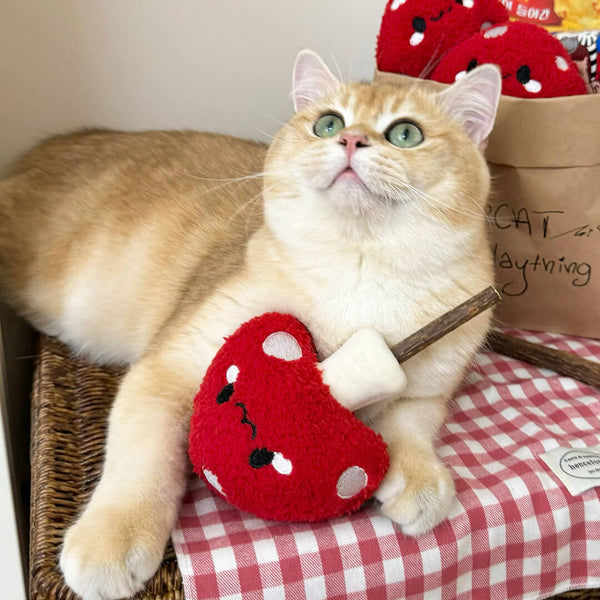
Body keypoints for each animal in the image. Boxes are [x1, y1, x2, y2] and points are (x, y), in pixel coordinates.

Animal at [0, 52, 502, 600]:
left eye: (406, 133)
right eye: (328, 124)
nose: (351, 140)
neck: (361, 271)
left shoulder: (428, 388)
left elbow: (411, 424)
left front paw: (419, 479)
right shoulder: (167, 369)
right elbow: (142, 458)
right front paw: (113, 535)